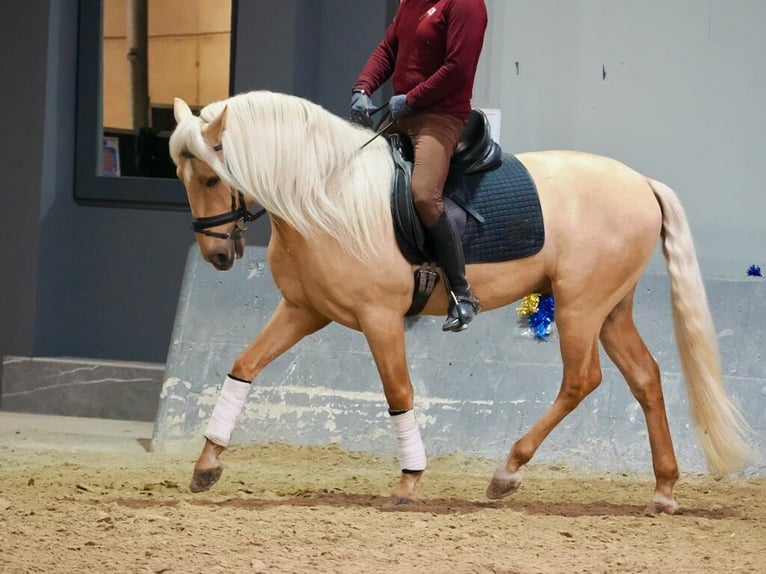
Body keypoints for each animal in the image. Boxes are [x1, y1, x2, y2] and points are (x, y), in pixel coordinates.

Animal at [166, 91, 752, 516]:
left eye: (214, 177)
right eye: (181, 177)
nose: (216, 255)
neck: (328, 195)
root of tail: (641, 182)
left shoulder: (380, 318)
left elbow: (399, 392)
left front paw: (409, 482)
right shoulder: (303, 310)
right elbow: (244, 365)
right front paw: (207, 464)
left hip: (581, 306)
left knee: (582, 380)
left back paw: (507, 472)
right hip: (611, 309)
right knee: (645, 378)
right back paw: (663, 491)